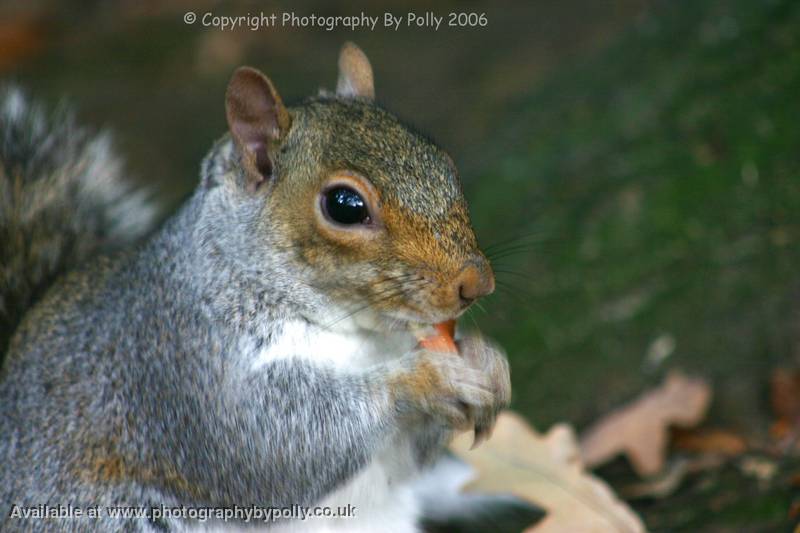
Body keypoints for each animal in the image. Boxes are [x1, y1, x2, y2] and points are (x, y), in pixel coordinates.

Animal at [0, 42, 510, 532]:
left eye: (444, 163)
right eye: (345, 205)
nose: (476, 283)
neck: (356, 335)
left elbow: (406, 460)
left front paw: (486, 363)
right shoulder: (185, 369)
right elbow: (267, 446)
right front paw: (426, 378)